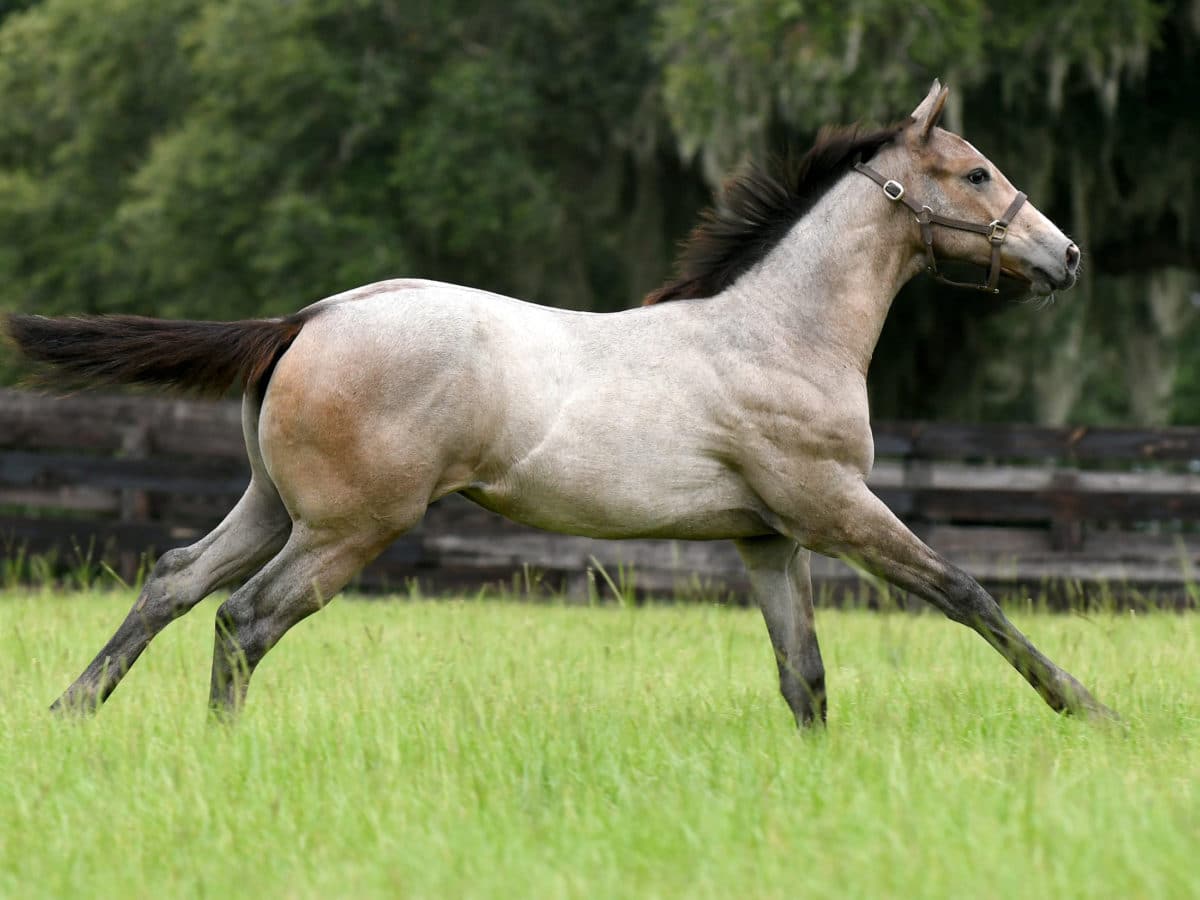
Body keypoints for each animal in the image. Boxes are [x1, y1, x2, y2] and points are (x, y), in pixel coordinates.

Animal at [2, 82, 1113, 724]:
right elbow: (966, 592)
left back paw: (70, 713)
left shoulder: (767, 538)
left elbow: (804, 676)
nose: (1065, 254)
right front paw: (1090, 709)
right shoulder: (834, 507)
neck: (780, 333)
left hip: (275, 508)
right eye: (976, 172)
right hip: (347, 529)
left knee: (174, 580)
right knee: (244, 618)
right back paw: (219, 744)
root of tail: (308, 318)